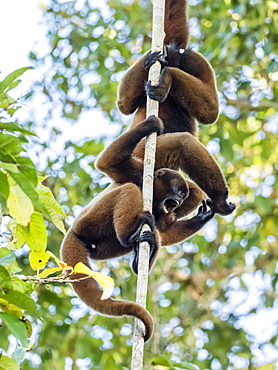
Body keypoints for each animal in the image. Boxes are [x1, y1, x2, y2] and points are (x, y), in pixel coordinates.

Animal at [60, 115, 213, 342]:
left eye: (182, 195)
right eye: (177, 189)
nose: (178, 200)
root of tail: (72, 233)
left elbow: (165, 229)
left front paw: (202, 216)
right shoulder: (138, 172)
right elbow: (107, 163)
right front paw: (150, 125)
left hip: (101, 248)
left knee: (152, 230)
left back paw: (139, 255)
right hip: (89, 223)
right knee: (130, 189)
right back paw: (128, 234)